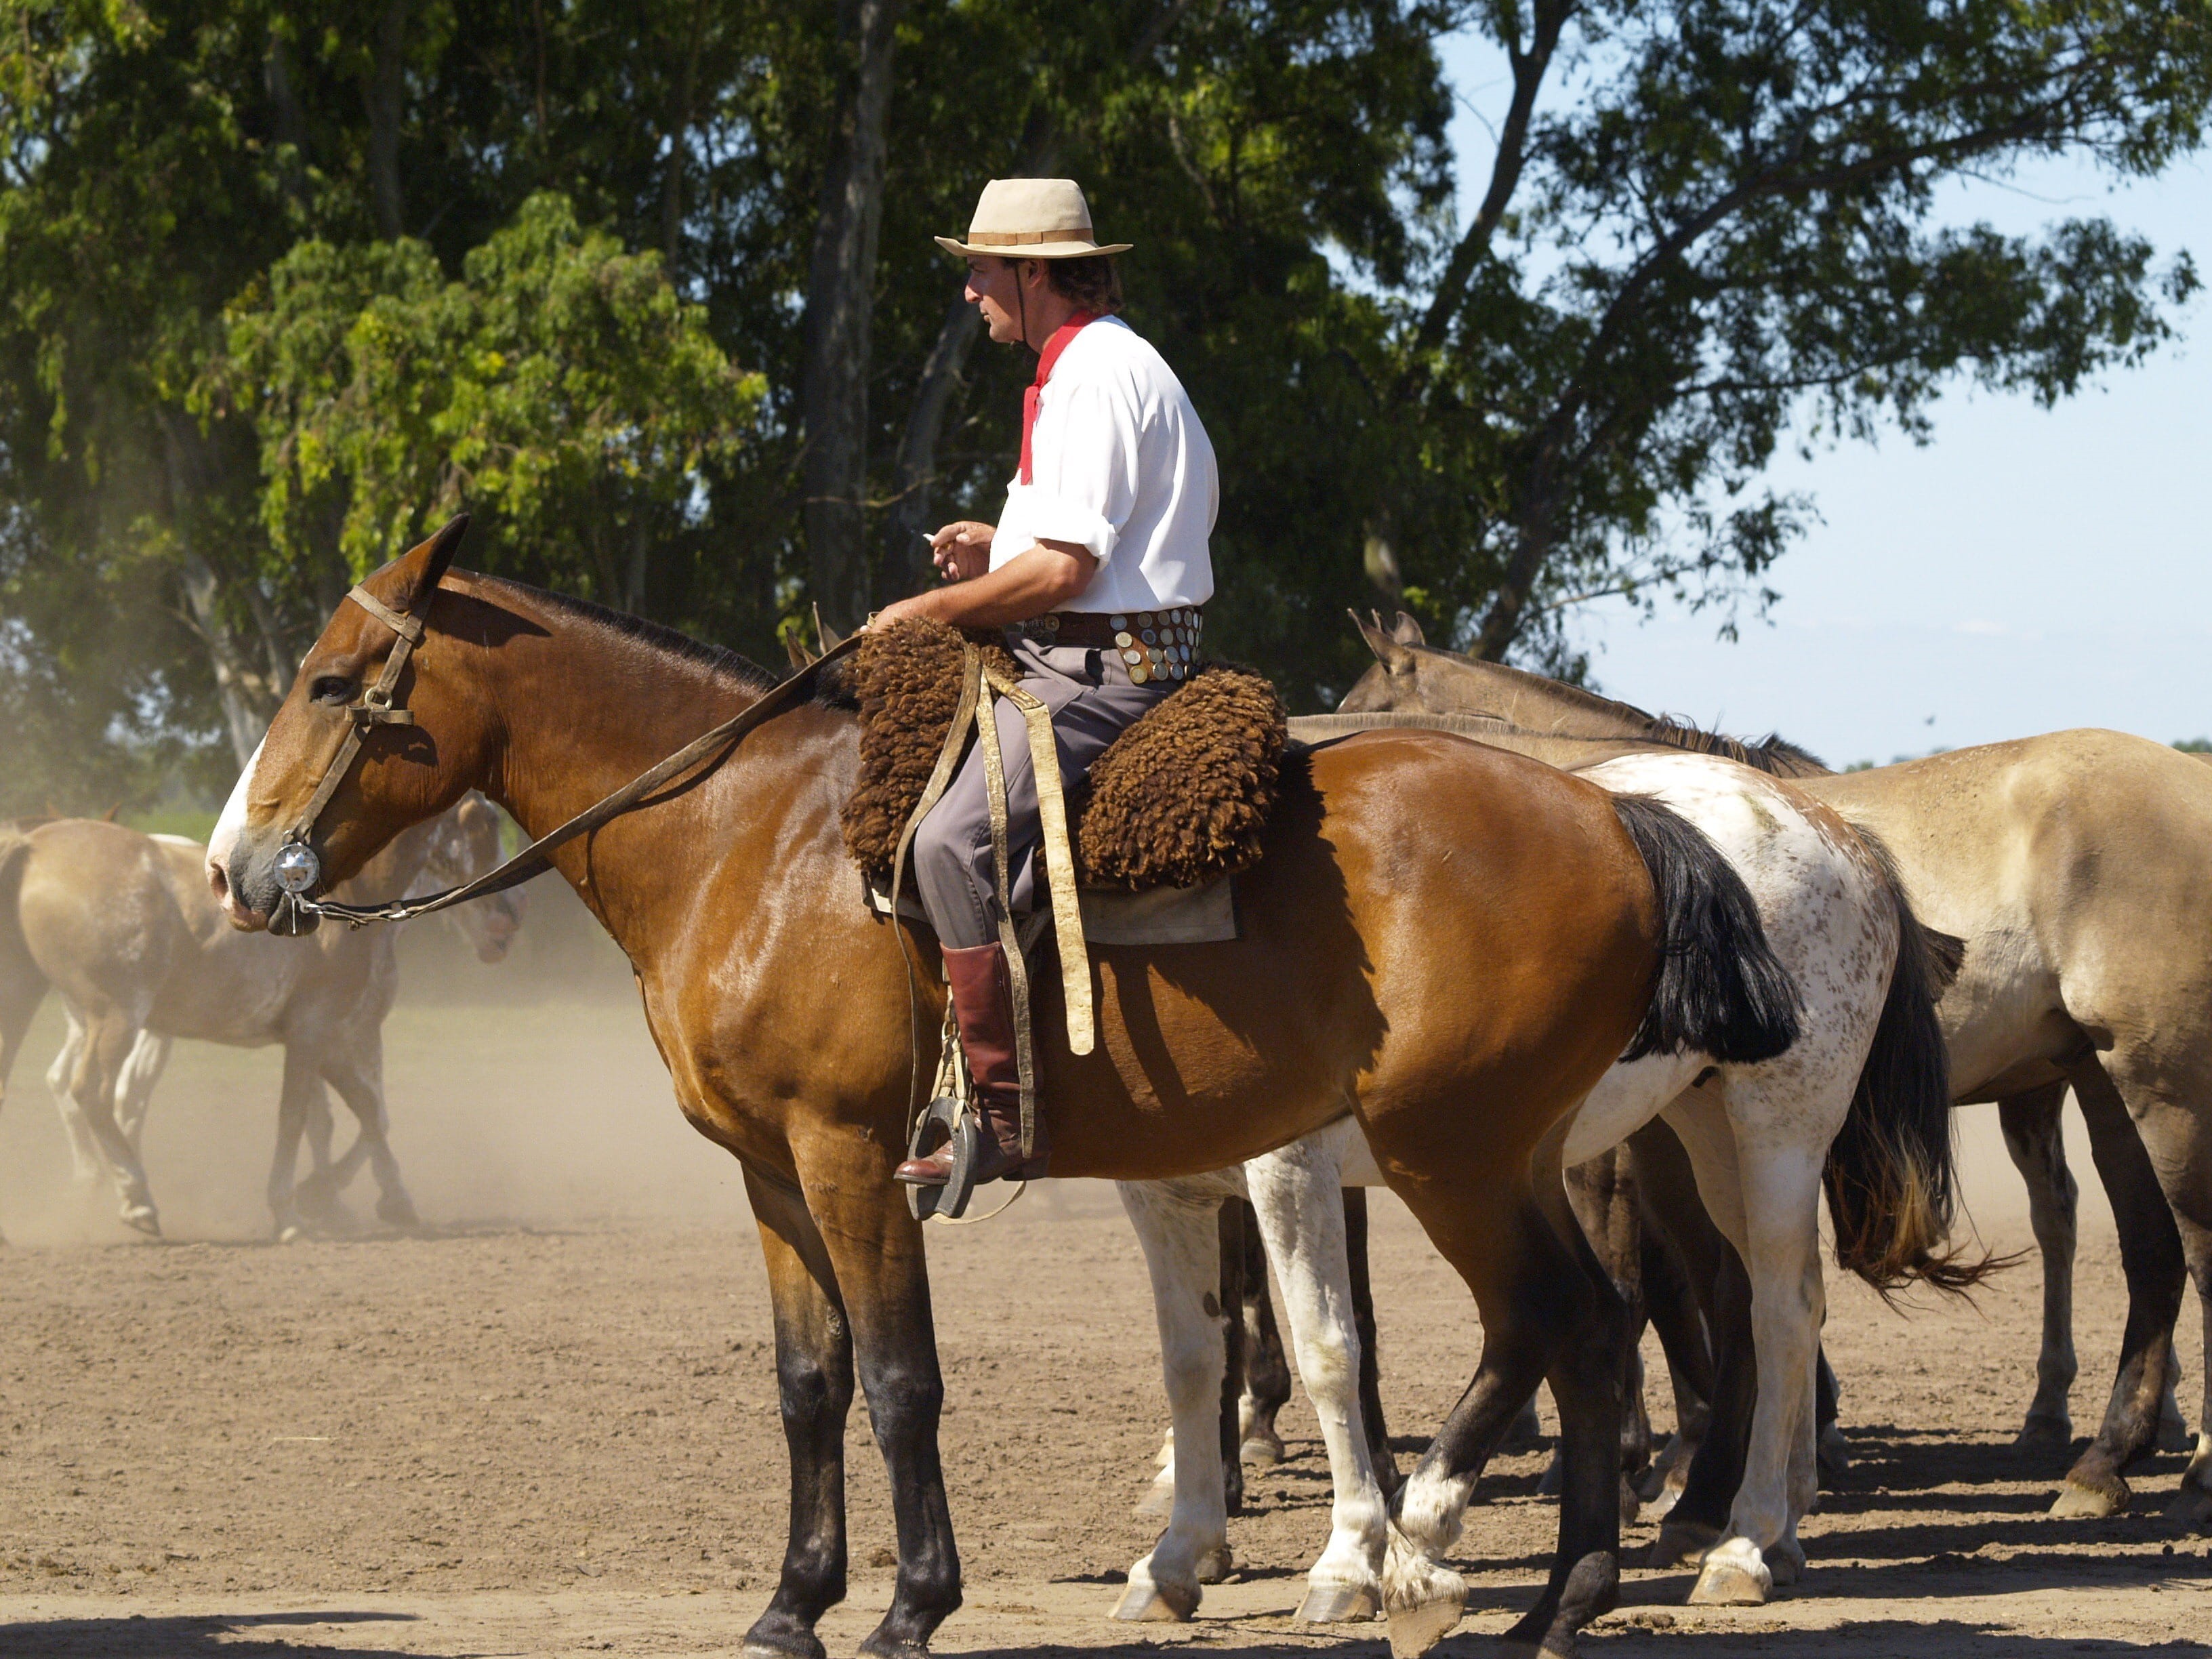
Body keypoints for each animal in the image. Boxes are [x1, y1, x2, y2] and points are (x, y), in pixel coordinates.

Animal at [0, 796, 521, 1239]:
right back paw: (136, 1197)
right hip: (117, 1017)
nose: (509, 920)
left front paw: (390, 1199)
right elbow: (298, 1117)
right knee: (93, 1092)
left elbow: (365, 1110)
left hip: (27, 1001)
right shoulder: (316, 1032)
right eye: (484, 826)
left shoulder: (329, 1037)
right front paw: (290, 1210)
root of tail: (35, 845)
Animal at [202, 518, 1802, 1659]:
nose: (230, 869)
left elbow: (900, 1378)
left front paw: (913, 1603)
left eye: (334, 684)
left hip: (1455, 1157)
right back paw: (1560, 1591)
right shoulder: (768, 1173)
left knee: (1582, 1323)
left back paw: (1557, 1593)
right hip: (1507, 1156)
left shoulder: (851, 1157)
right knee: (1588, 1327)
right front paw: (790, 1606)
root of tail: (1619, 814)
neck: (751, 837)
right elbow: (809, 1384)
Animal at [1119, 736, 1968, 1618]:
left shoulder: (1294, 1169)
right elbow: (1195, 1357)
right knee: (1779, 1302)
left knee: (1779, 1309)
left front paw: (1348, 1557)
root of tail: (1837, 829)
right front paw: (1181, 1549)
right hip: (1706, 1133)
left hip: (1779, 1125)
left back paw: (1740, 1538)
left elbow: (1331, 1348)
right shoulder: (1165, 1190)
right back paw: (1777, 1528)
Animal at [1341, 614, 2212, 1527]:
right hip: (2100, 1079)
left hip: (2156, 1082)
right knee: (2144, 1246)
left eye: (1360, 702)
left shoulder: (1613, 1148)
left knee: (2182, 1238)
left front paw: (1652, 1460)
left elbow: (1651, 1281)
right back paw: (2104, 1458)